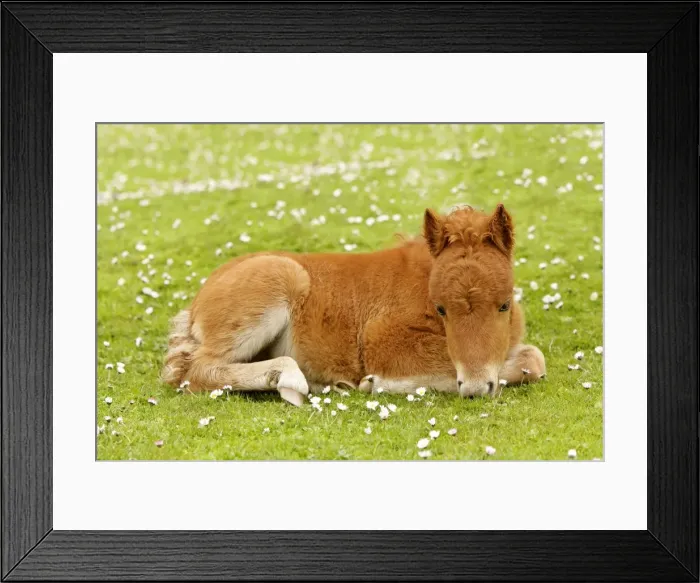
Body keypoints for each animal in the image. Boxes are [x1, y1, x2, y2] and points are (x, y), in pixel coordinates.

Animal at [161, 204, 546, 406]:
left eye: (504, 305)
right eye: (441, 309)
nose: (478, 388)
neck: (422, 280)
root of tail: (197, 302)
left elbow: (533, 358)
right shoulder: (381, 341)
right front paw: (375, 384)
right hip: (278, 283)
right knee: (196, 369)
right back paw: (290, 379)